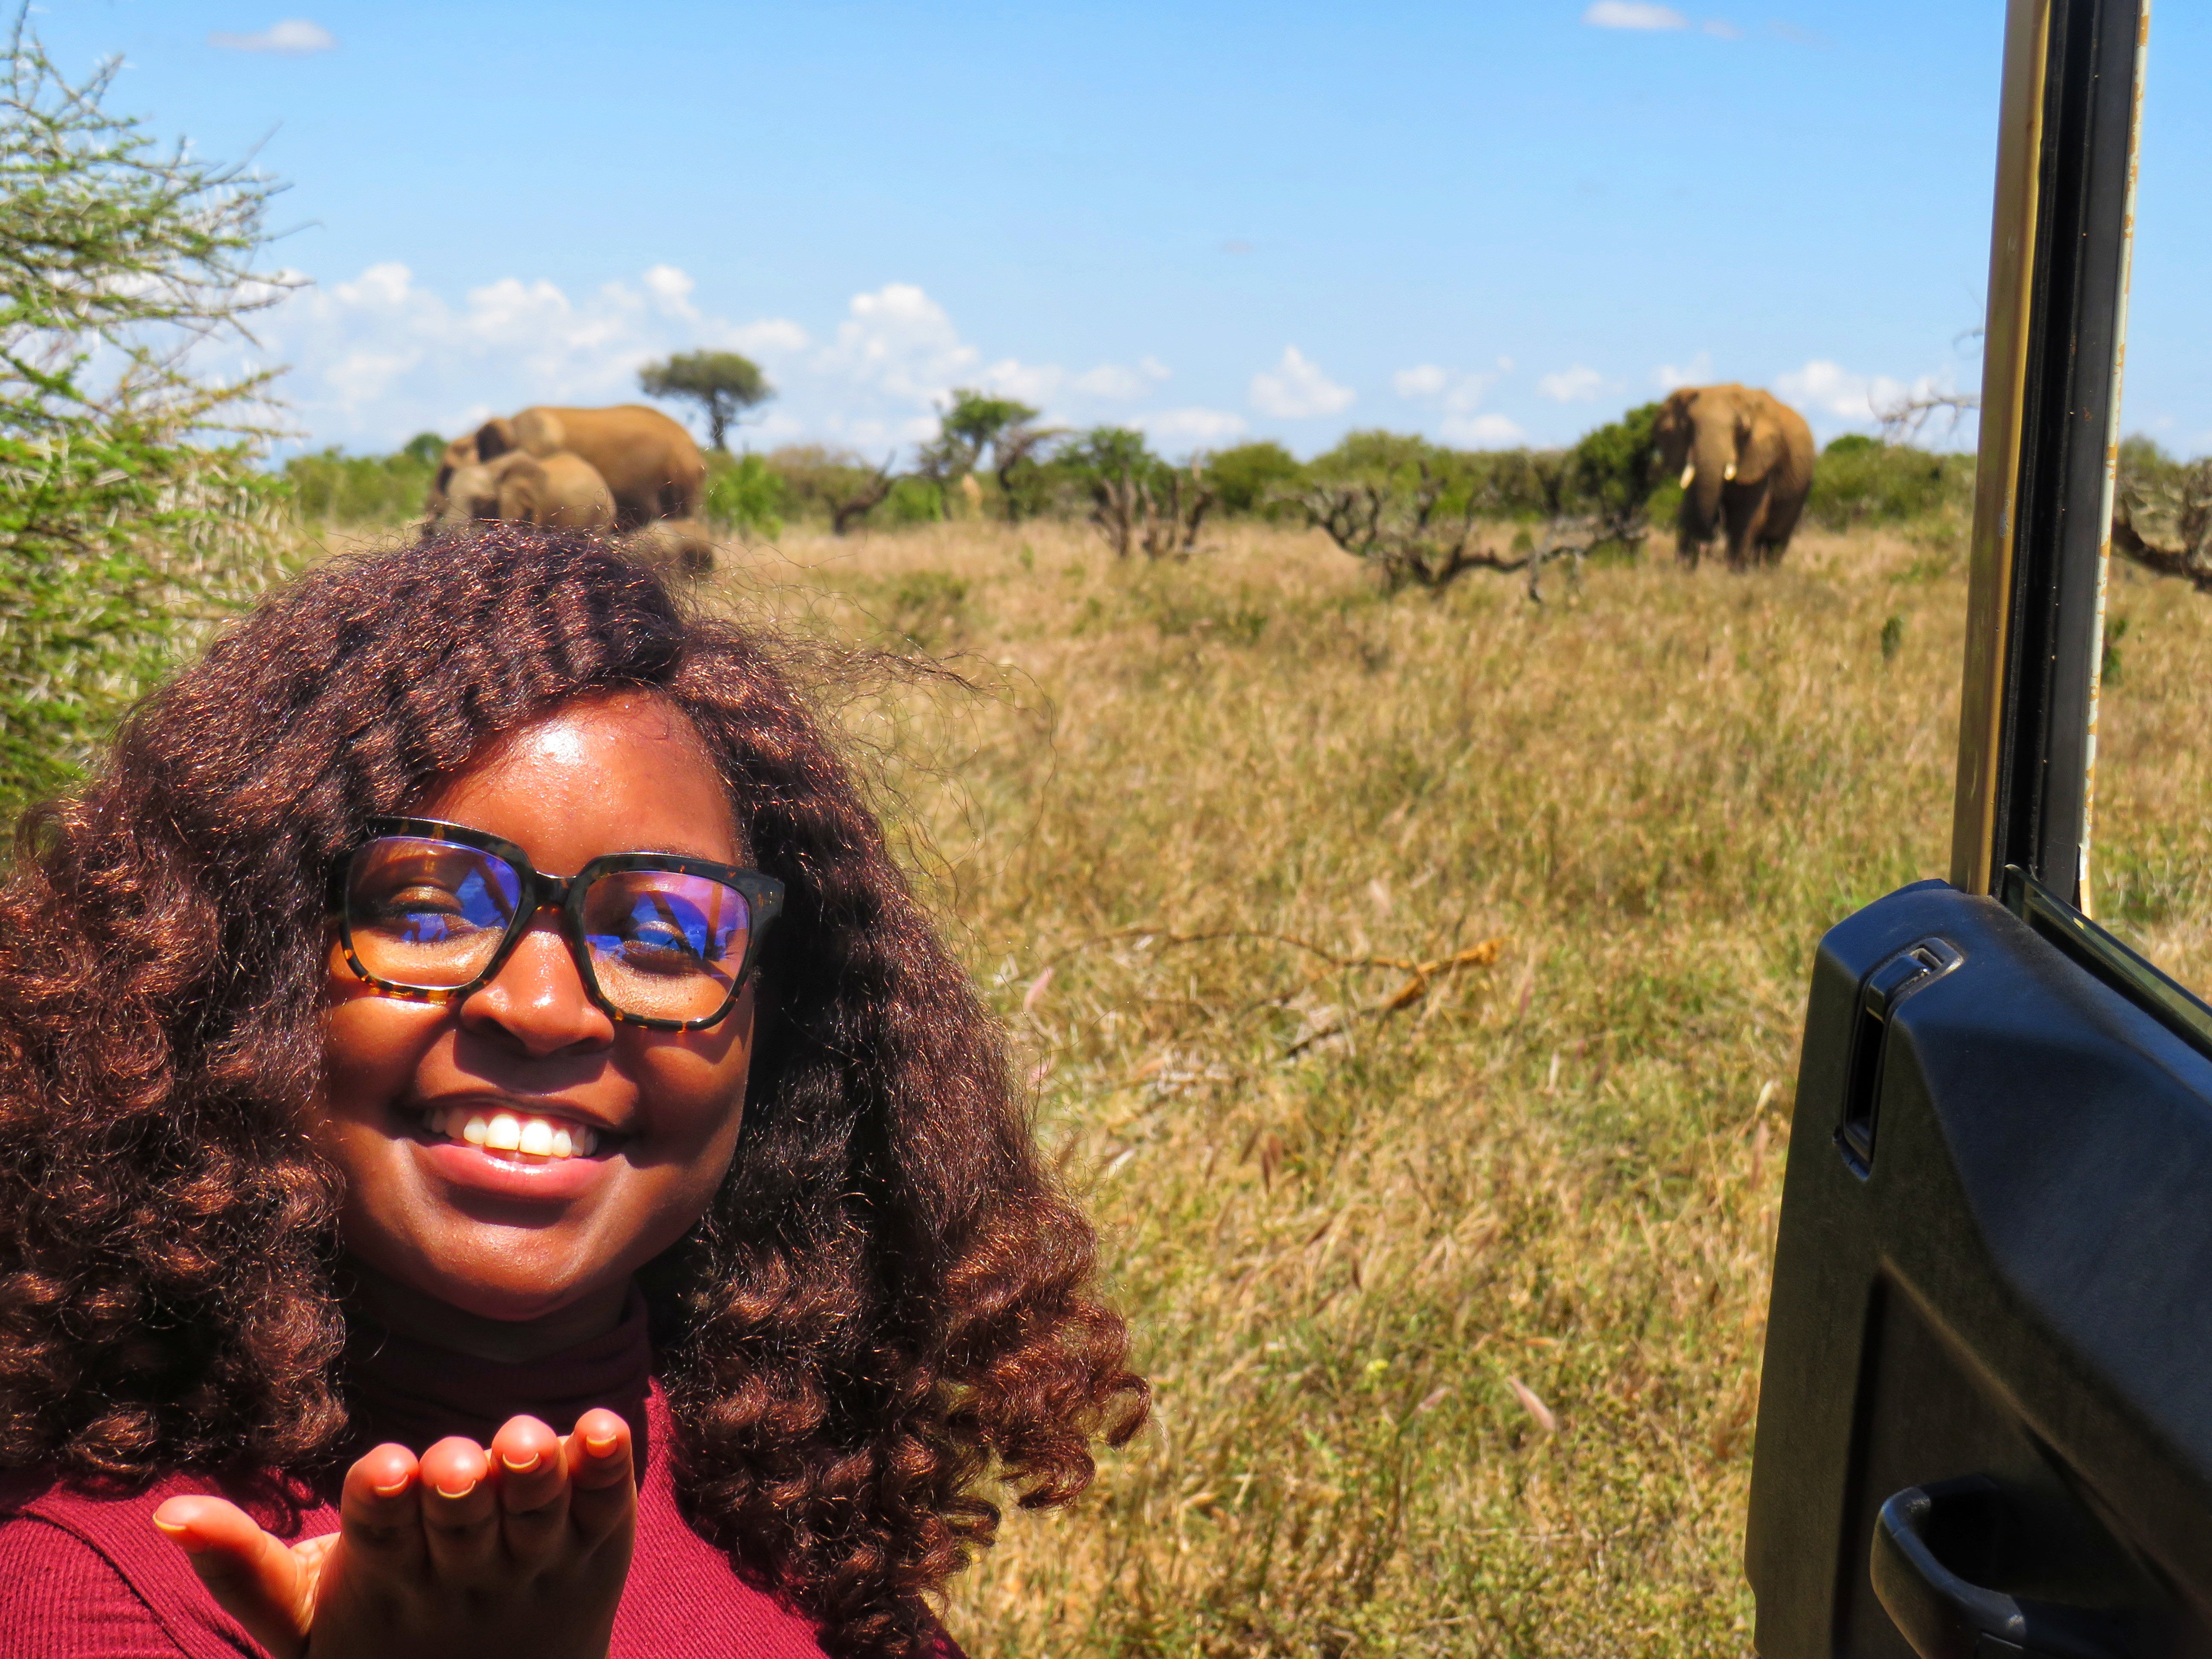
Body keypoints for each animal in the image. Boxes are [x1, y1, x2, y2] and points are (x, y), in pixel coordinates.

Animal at [1663, 382, 1813, 570]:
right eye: (1688, 425)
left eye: (1741, 428)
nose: (1710, 541)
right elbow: (1689, 506)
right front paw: (1682, 568)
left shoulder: (1763, 457)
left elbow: (1747, 514)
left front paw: (1735, 573)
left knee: (1776, 541)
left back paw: (1765, 572)